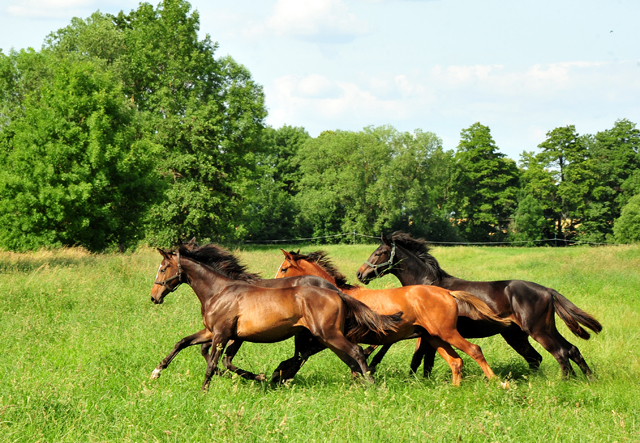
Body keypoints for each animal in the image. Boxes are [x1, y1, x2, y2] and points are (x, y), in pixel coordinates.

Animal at [150, 243, 402, 388]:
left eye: (162, 268)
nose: (154, 297)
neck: (219, 291)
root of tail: (336, 293)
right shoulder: (213, 332)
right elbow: (183, 343)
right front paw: (156, 372)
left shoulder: (222, 334)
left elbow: (213, 363)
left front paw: (204, 391)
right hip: (323, 335)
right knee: (343, 355)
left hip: (327, 334)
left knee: (355, 352)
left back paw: (370, 384)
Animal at [272, 250, 512, 386]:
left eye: (283, 269)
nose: (272, 284)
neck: (337, 293)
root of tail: (448, 293)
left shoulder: (331, 338)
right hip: (434, 336)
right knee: (456, 361)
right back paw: (454, 388)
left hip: (447, 333)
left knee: (474, 350)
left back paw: (498, 383)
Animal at [358, 232, 604, 378]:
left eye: (379, 253)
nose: (360, 274)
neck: (427, 284)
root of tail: (547, 290)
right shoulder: (428, 334)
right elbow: (423, 359)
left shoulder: (426, 333)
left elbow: (419, 358)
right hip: (525, 333)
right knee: (563, 351)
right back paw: (587, 379)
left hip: (538, 331)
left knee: (560, 353)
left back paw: (566, 381)